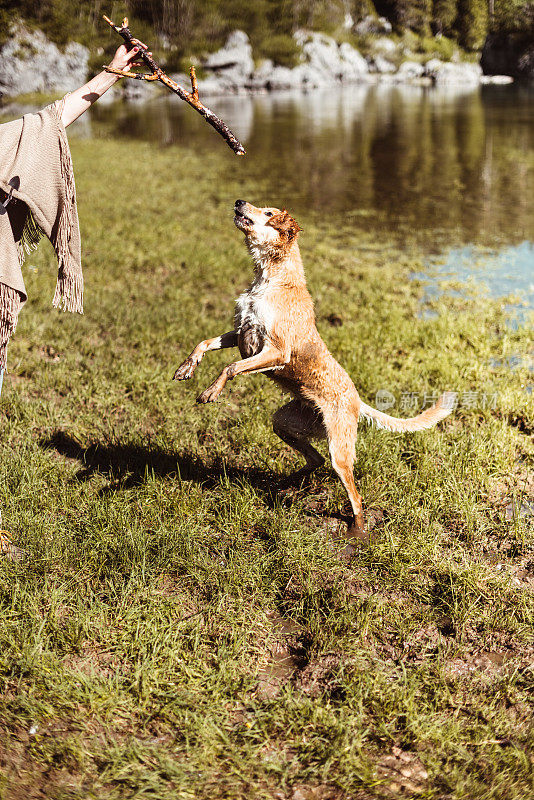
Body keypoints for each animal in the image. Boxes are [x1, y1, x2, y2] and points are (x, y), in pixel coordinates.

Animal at [175, 202, 456, 532]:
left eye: (268, 213)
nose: (239, 202)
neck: (270, 278)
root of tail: (357, 401)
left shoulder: (276, 350)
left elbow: (230, 367)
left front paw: (210, 392)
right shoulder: (241, 332)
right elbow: (204, 343)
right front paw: (186, 368)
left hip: (340, 451)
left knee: (355, 496)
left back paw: (356, 530)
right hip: (285, 423)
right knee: (314, 460)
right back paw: (285, 484)